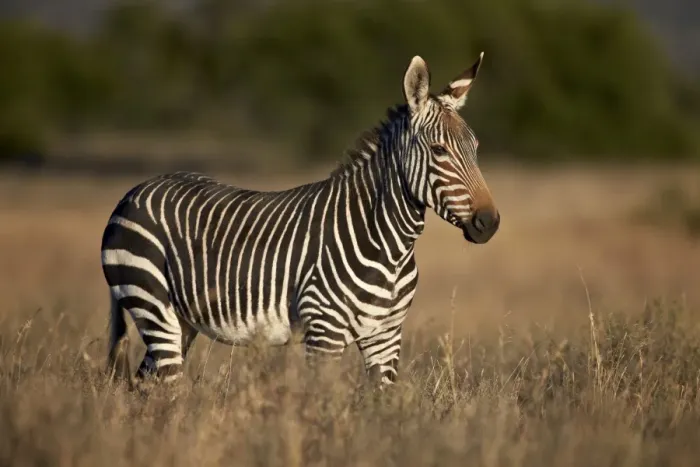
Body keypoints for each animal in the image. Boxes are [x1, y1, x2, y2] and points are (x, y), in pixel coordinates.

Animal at [101, 53, 500, 388]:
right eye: (439, 150)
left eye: (476, 148)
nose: (489, 223)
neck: (389, 245)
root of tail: (134, 192)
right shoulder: (324, 332)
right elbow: (321, 408)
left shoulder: (386, 335)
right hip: (153, 305)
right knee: (166, 390)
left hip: (180, 320)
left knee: (144, 386)